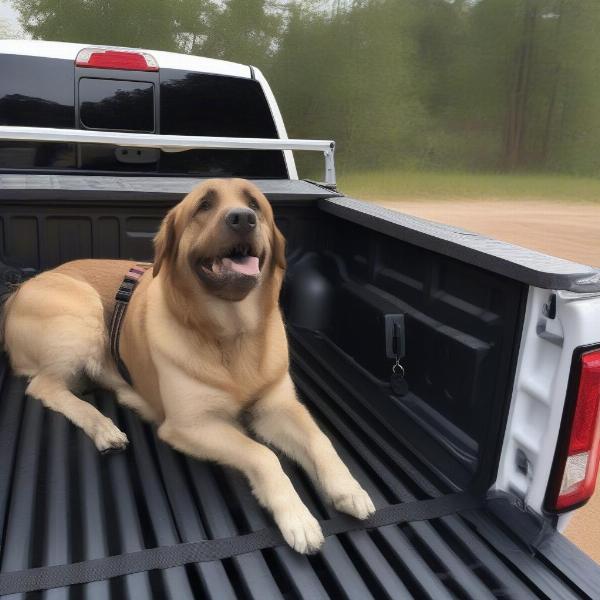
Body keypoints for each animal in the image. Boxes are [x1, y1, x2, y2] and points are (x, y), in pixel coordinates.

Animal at [1, 177, 376, 552]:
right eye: (203, 205)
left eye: (254, 204)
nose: (242, 218)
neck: (232, 335)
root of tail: (18, 291)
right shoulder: (189, 426)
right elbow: (262, 454)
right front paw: (297, 517)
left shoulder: (277, 407)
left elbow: (319, 440)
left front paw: (347, 487)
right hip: (83, 310)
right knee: (45, 386)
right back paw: (103, 426)